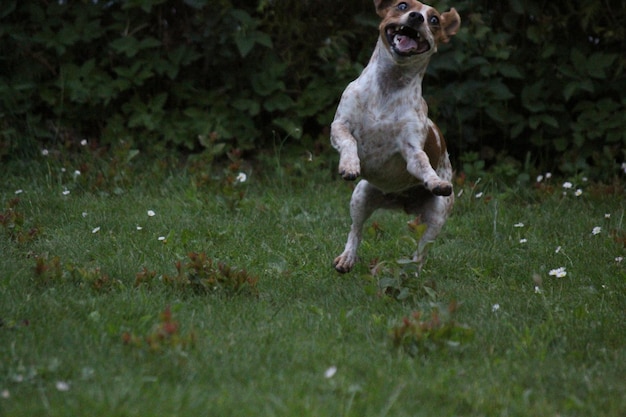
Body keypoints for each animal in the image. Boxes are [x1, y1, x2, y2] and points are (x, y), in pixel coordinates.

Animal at [326, 0, 458, 272]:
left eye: (434, 19)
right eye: (403, 5)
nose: (417, 17)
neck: (389, 86)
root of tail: (402, 203)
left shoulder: (411, 149)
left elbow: (422, 163)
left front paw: (434, 180)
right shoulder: (340, 126)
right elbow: (348, 141)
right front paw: (350, 164)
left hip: (437, 214)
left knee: (421, 252)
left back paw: (412, 272)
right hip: (361, 196)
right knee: (356, 230)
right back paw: (347, 258)